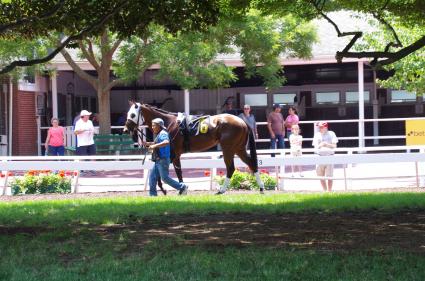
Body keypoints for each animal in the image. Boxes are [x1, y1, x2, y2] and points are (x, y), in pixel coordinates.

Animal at [122, 102, 264, 192]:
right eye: (128, 113)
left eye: (133, 115)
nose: (125, 129)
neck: (169, 124)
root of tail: (242, 121)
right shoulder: (174, 155)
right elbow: (170, 171)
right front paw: (175, 188)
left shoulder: (174, 153)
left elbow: (173, 172)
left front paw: (176, 189)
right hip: (239, 148)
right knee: (251, 163)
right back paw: (261, 188)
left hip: (228, 149)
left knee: (231, 168)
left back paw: (222, 190)